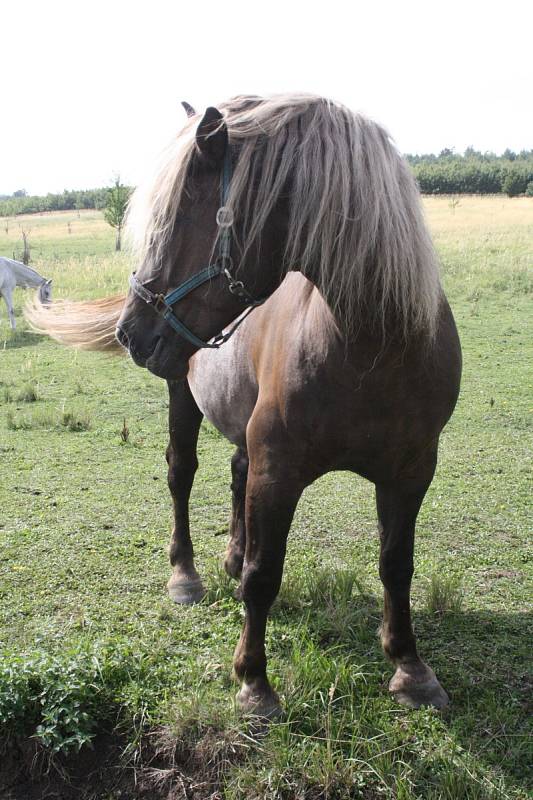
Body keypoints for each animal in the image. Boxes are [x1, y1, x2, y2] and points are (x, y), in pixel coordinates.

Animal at [27, 95, 462, 720]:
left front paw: (410, 667)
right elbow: (264, 573)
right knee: (181, 475)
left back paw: (229, 556)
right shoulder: (279, 471)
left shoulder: (411, 471)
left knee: (235, 473)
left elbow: (396, 566)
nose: (131, 331)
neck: (370, 349)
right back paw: (185, 575)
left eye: (176, 215)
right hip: (182, 397)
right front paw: (254, 682)